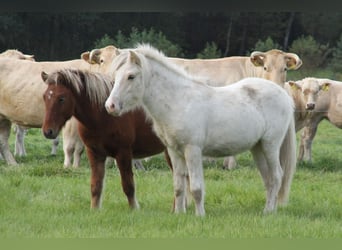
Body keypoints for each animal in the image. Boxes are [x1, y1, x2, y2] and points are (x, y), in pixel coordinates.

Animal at [41, 68, 172, 209]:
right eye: (45, 97)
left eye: (61, 98)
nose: (48, 131)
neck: (103, 115)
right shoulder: (95, 153)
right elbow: (96, 186)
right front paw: (95, 209)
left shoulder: (123, 153)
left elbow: (128, 185)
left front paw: (134, 208)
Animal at [104, 45, 296, 217]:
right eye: (116, 76)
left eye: (131, 76)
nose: (110, 106)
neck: (178, 101)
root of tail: (284, 95)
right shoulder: (174, 152)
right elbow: (179, 186)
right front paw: (179, 214)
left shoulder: (193, 150)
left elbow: (195, 187)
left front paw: (200, 215)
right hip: (257, 148)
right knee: (268, 179)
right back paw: (269, 209)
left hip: (270, 145)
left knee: (277, 176)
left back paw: (269, 211)